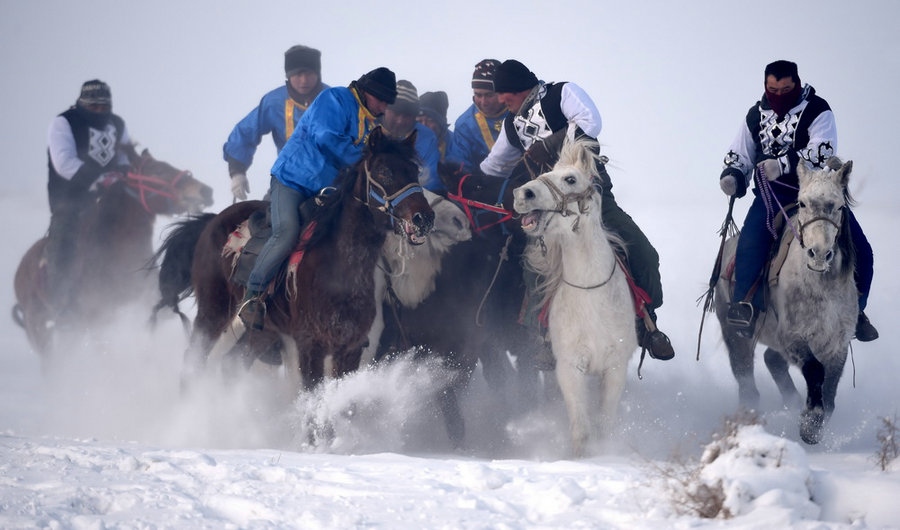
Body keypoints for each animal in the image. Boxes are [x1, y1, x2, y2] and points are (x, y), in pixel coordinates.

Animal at [181, 128, 434, 388]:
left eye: (414, 170)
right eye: (384, 171)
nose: (423, 218)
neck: (339, 268)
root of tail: (211, 221)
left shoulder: (350, 348)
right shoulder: (310, 345)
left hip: (262, 332)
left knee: (231, 362)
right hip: (213, 311)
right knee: (193, 360)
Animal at [510, 137, 636, 454]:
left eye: (570, 179)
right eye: (546, 172)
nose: (522, 194)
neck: (591, 295)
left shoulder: (615, 367)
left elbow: (604, 423)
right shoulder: (569, 369)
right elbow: (581, 428)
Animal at [716, 157, 856, 442]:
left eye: (838, 206)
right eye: (802, 203)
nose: (819, 254)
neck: (822, 288)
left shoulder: (838, 343)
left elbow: (830, 391)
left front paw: (814, 422)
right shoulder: (793, 336)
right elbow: (815, 371)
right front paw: (809, 425)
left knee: (772, 359)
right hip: (735, 334)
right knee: (748, 381)